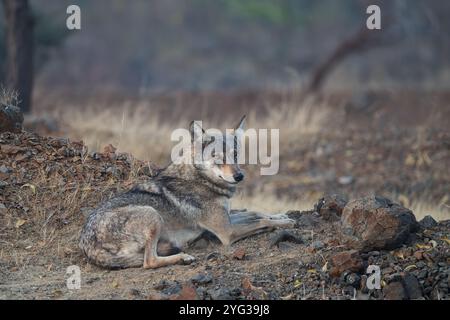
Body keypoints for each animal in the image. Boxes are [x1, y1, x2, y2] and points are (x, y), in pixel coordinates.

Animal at [78, 116, 294, 268]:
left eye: (235, 154)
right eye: (217, 157)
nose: (239, 176)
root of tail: (87, 245)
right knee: (148, 262)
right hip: (152, 214)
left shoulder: (226, 219)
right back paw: (183, 257)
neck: (201, 179)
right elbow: (261, 221)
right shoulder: (227, 232)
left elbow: (256, 212)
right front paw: (285, 223)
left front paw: (282, 215)